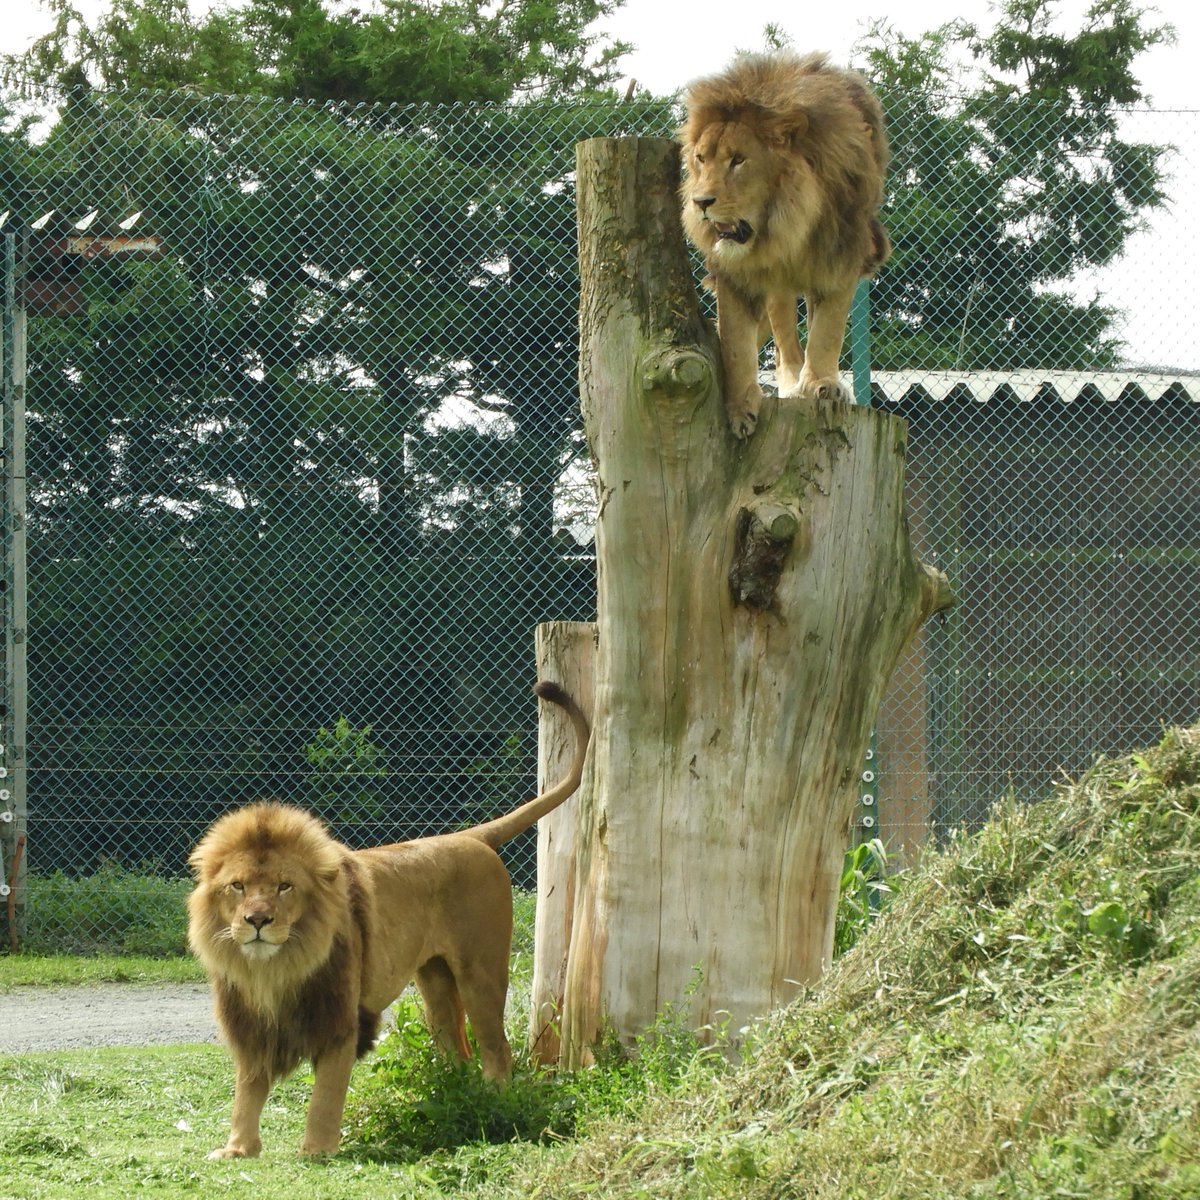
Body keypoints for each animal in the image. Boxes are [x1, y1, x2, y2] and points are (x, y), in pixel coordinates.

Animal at [186, 680, 589, 1159]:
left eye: (285, 887)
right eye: (237, 886)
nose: (257, 920)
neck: (275, 967)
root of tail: (470, 836)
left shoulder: (341, 1019)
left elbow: (326, 1094)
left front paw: (316, 1150)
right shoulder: (250, 1024)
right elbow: (247, 1088)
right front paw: (237, 1149)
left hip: (481, 971)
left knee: (496, 1050)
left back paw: (492, 1105)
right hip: (435, 982)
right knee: (458, 1051)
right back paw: (453, 1100)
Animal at [679, 51, 891, 438]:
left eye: (738, 159)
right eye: (701, 159)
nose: (700, 202)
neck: (789, 223)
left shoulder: (841, 256)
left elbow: (827, 330)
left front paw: (822, 383)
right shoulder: (743, 273)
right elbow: (737, 344)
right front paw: (741, 408)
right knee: (781, 341)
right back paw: (791, 385)